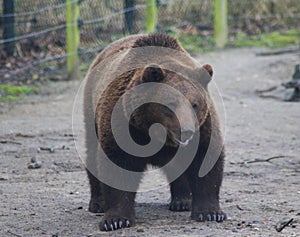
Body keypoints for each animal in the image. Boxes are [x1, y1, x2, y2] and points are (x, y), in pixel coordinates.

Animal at [83, 33, 226, 231]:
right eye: (171, 103)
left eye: (195, 104)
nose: (187, 131)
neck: (154, 133)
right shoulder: (123, 124)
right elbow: (117, 163)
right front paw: (116, 220)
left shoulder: (204, 127)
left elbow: (205, 159)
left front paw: (210, 212)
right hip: (91, 109)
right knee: (92, 153)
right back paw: (98, 203)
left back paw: (182, 200)